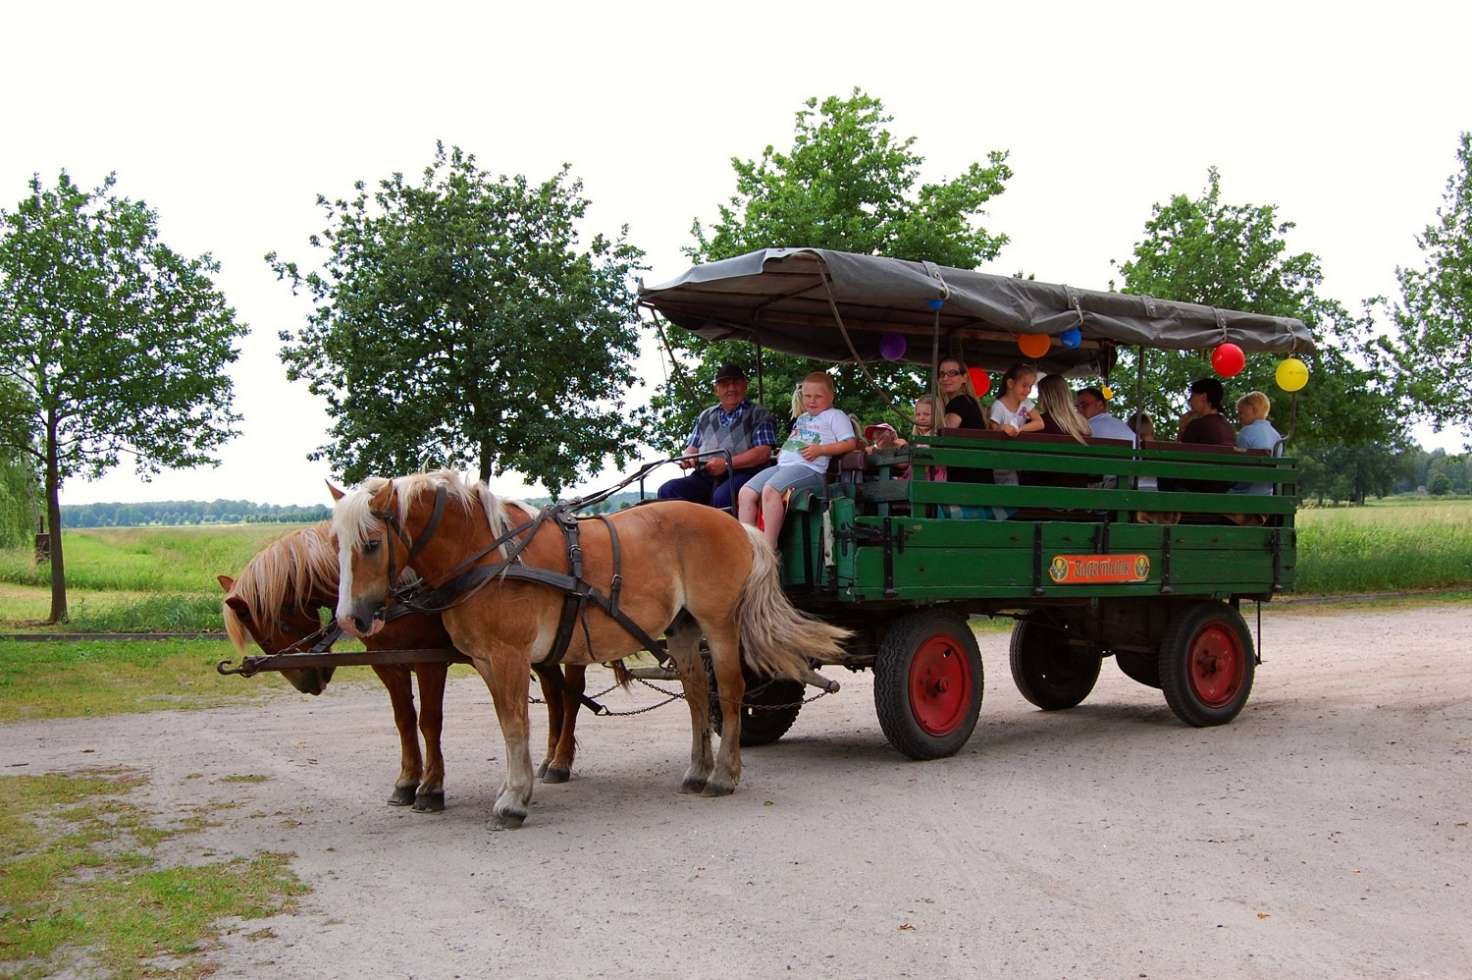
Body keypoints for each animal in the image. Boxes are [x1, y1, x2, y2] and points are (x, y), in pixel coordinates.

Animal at [219, 517, 609, 800]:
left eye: (279, 623)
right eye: (260, 634)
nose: (308, 682)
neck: (398, 596)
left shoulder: (428, 661)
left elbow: (429, 721)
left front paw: (431, 787)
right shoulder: (387, 663)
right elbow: (404, 720)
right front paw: (407, 781)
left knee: (571, 697)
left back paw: (560, 761)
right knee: (555, 697)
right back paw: (548, 759)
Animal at [328, 464, 847, 824]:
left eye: (371, 543)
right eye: (336, 544)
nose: (351, 619)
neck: (491, 555)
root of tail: (738, 526)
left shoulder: (510, 656)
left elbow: (515, 725)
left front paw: (514, 800)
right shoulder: (487, 661)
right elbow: (509, 723)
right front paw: (516, 787)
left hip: (719, 625)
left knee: (732, 690)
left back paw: (723, 775)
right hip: (682, 630)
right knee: (699, 694)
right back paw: (697, 771)